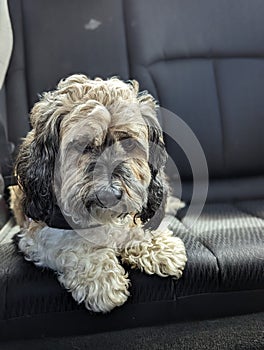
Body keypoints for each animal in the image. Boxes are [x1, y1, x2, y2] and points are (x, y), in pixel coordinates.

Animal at [10, 75, 188, 314]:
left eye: (129, 143)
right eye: (82, 144)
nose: (109, 194)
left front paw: (157, 246)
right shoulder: (38, 231)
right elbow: (74, 246)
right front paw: (103, 279)